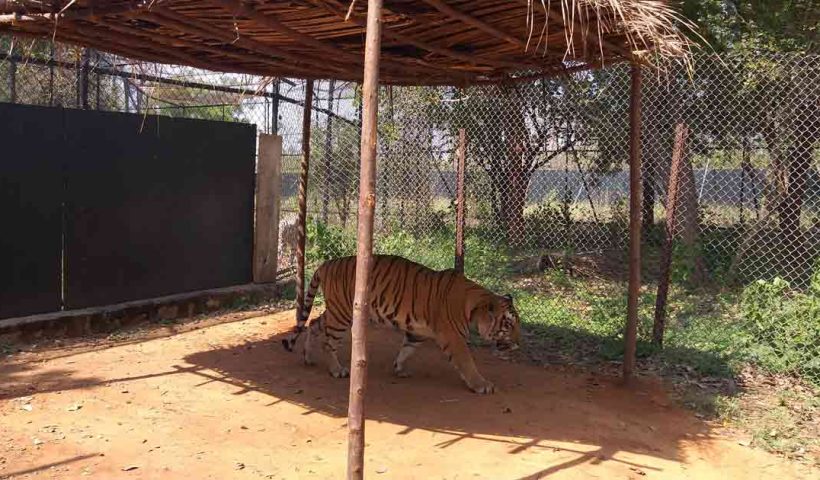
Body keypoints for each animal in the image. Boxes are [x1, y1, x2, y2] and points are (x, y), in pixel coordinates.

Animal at [282, 255, 520, 394]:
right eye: (508, 325)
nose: (518, 344)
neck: (472, 306)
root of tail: (327, 263)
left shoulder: (418, 332)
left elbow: (408, 349)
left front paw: (399, 368)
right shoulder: (454, 338)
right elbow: (467, 363)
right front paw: (482, 385)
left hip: (337, 310)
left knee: (314, 323)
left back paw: (308, 358)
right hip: (342, 314)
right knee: (328, 342)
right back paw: (337, 370)